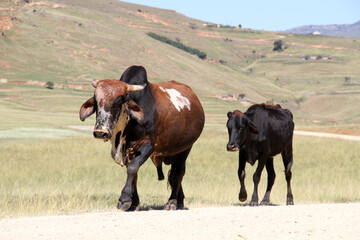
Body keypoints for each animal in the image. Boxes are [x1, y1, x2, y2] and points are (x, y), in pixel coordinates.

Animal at [79, 65, 205, 210]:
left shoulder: (148, 145)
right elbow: (134, 173)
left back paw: (172, 202)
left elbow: (133, 168)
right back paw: (179, 201)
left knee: (178, 174)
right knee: (173, 175)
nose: (100, 132)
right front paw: (134, 203)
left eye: (118, 100)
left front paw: (124, 199)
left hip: (185, 148)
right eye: (95, 99)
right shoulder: (128, 150)